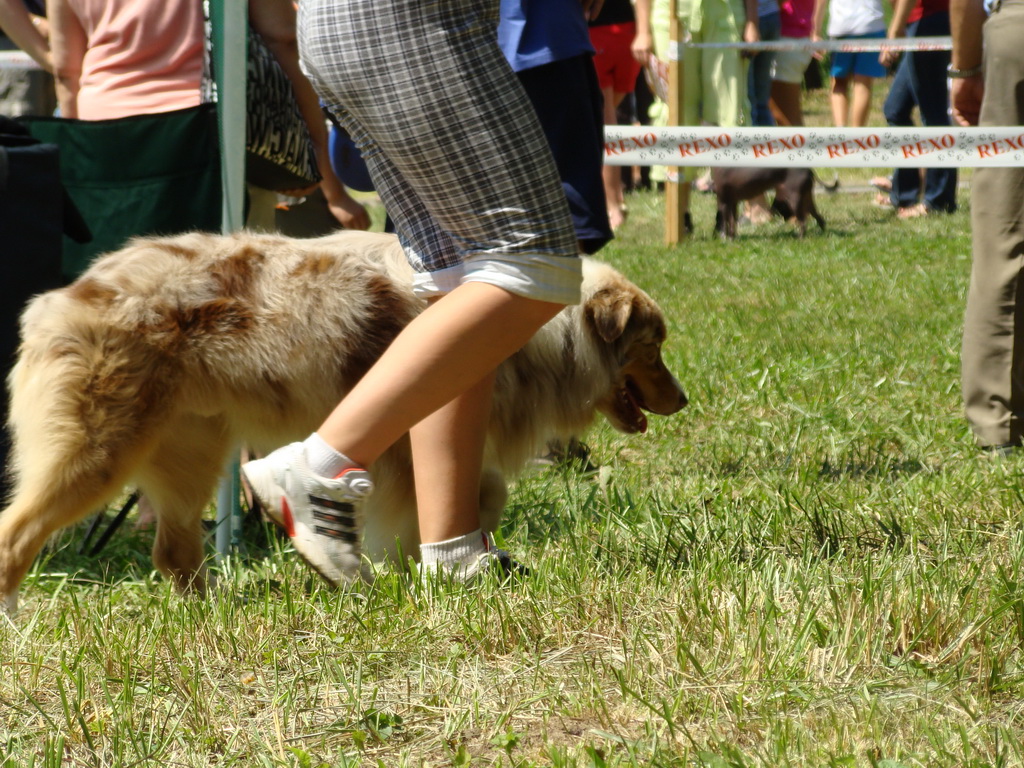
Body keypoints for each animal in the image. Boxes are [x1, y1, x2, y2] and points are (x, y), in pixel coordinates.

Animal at [0, 228, 688, 614]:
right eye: (653, 348)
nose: (683, 400)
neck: (548, 336)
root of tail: (56, 296)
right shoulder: (413, 435)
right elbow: (469, 494)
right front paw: (442, 564)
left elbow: (479, 492)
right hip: (99, 447)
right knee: (16, 532)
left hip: (192, 447)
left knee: (172, 549)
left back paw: (214, 616)